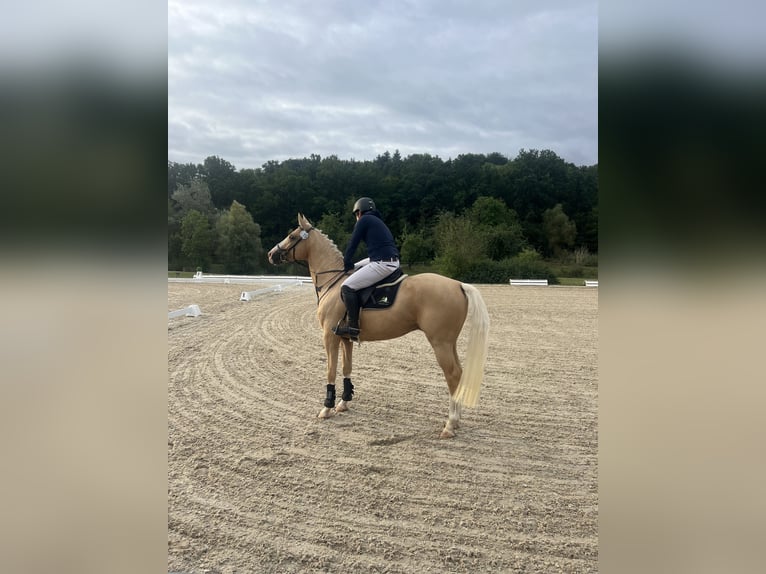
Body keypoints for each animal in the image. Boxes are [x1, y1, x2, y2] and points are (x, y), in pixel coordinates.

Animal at [268, 214, 488, 438]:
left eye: (292, 236)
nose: (271, 254)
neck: (334, 282)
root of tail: (458, 284)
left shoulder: (329, 337)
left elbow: (330, 370)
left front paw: (327, 408)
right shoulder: (346, 339)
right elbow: (347, 368)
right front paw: (343, 403)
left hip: (440, 343)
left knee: (452, 375)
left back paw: (450, 425)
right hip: (449, 343)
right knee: (459, 373)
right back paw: (456, 421)